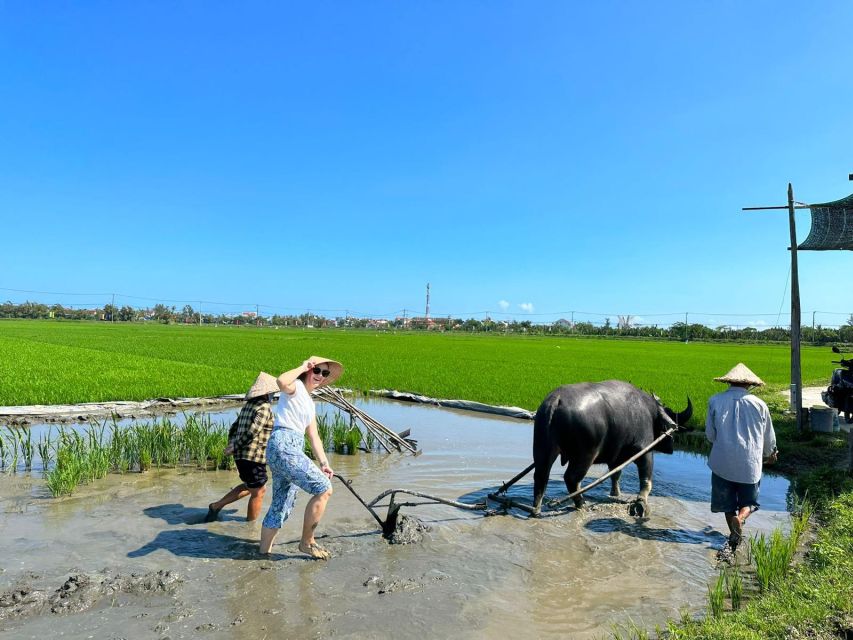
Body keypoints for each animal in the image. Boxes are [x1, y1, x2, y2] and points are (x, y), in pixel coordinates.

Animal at [532, 382, 692, 516]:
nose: (671, 447)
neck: (650, 411)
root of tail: (556, 400)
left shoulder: (615, 456)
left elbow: (616, 475)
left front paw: (615, 494)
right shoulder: (645, 450)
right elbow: (646, 480)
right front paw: (641, 503)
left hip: (543, 449)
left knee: (541, 477)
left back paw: (536, 509)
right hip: (585, 455)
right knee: (571, 478)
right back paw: (581, 504)